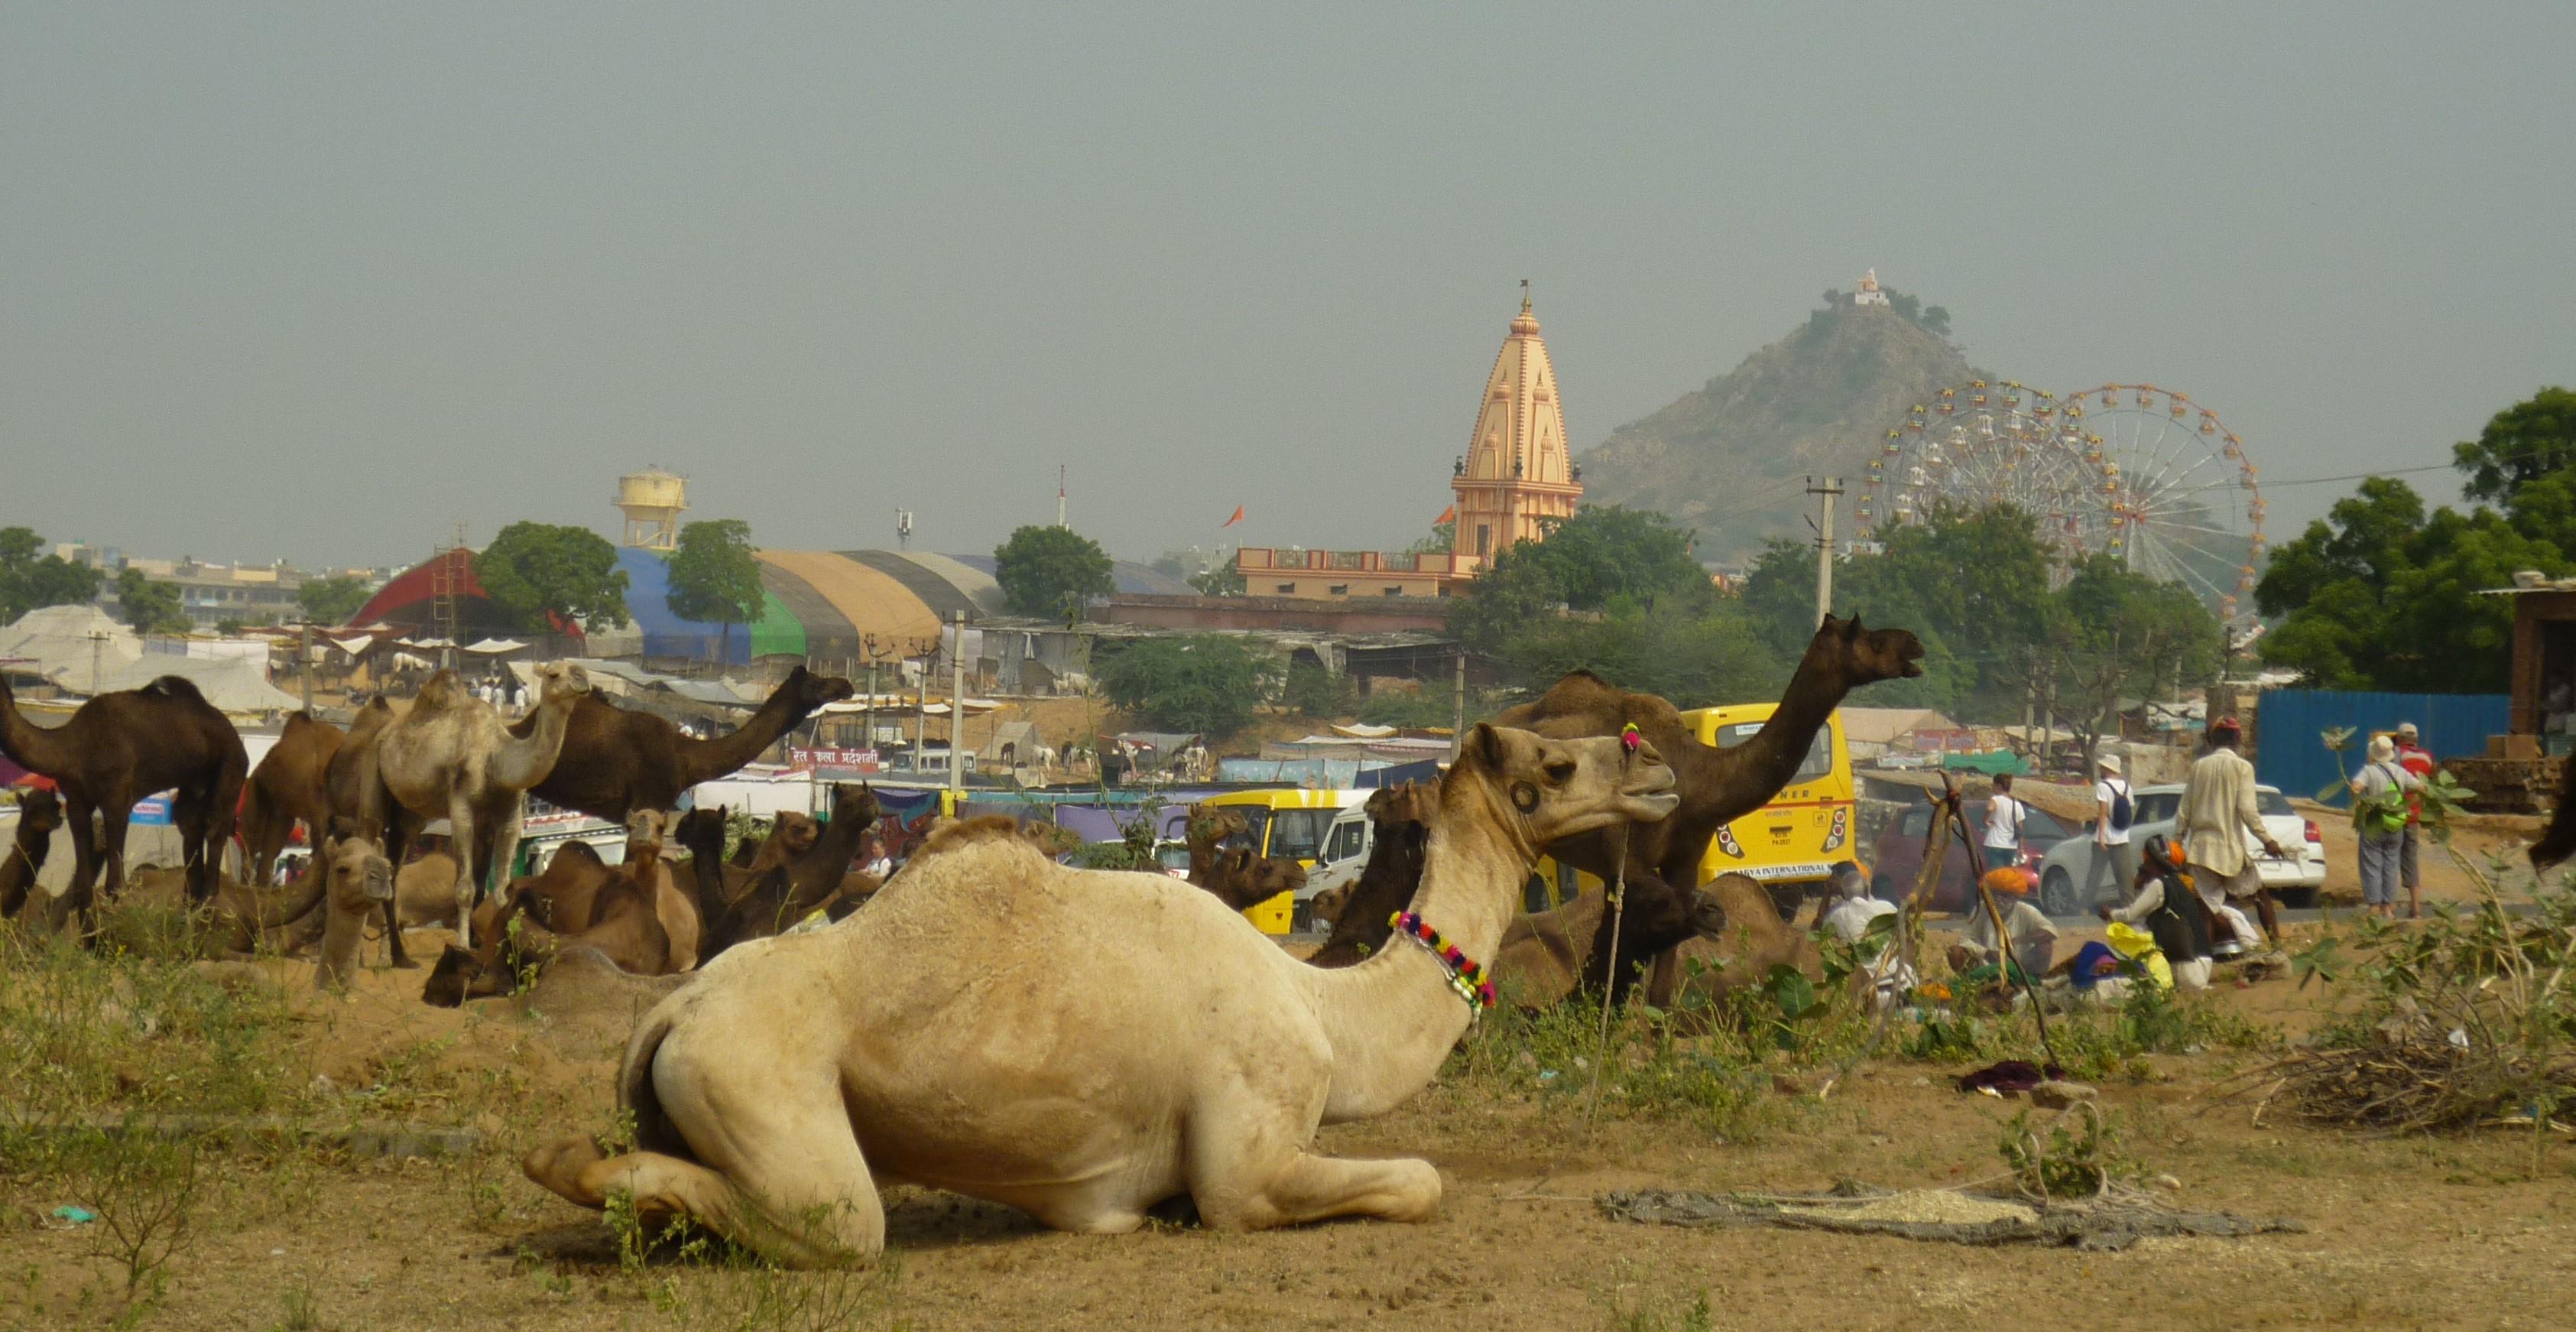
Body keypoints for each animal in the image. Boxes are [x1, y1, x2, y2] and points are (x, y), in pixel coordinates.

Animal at [0, 670, 245, 917]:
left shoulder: (116, 801)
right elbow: (83, 887)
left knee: (216, 828)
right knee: (190, 826)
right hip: (195, 782)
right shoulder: (76, 802)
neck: (72, 748)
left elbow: (114, 884)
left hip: (232, 765)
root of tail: (233, 733)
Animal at [355, 664, 589, 943]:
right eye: (554, 674)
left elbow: (496, 887)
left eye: (579, 670)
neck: (496, 759)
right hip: (373, 771)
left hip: (409, 812)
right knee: (367, 837)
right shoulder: (462, 807)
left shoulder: (508, 815)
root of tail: (385, 733)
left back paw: (397, 951)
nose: (581, 676)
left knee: (395, 870)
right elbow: (465, 888)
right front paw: (464, 944)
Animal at [525, 721, 1689, 1262]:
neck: (1323, 1011)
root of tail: (671, 1011)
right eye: (1551, 765)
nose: (1657, 768)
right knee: (844, 1221)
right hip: (758, 1082)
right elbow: (1418, 1179)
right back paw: (578, 1167)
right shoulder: (1244, 1158)